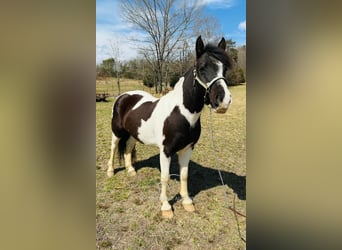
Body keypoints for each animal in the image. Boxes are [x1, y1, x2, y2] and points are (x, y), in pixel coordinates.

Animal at [107, 35, 232, 219]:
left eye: (225, 69)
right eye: (202, 67)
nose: (223, 101)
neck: (181, 113)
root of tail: (124, 96)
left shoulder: (188, 148)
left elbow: (184, 175)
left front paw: (187, 202)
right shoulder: (165, 151)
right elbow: (165, 177)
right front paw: (166, 207)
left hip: (133, 134)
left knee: (128, 148)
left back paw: (131, 171)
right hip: (116, 132)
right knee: (114, 148)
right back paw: (110, 172)